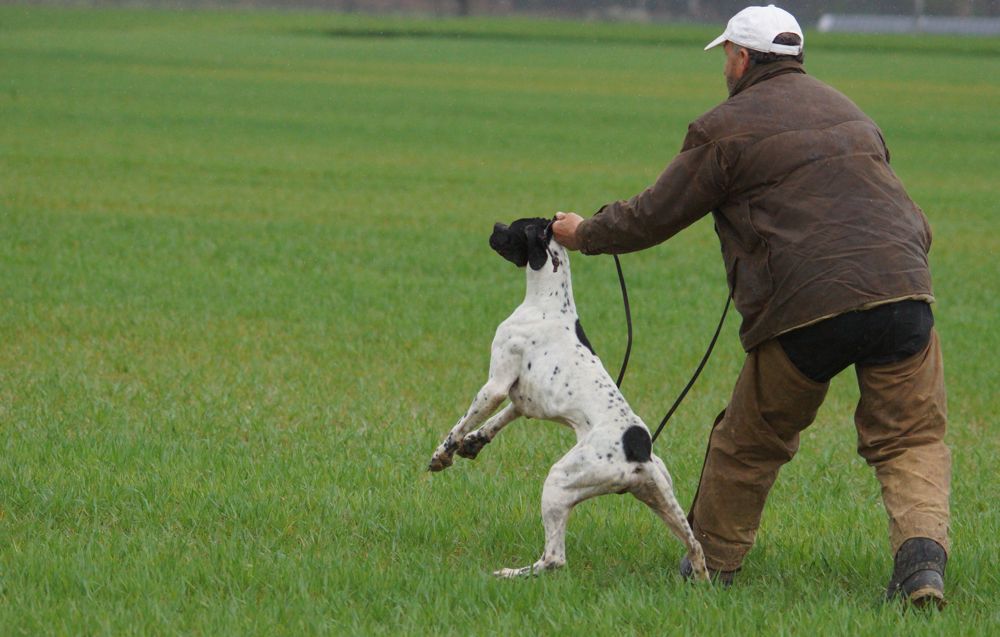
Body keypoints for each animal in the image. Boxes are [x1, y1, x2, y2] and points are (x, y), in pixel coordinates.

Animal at [428, 217, 709, 581]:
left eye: (515, 226)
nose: (495, 225)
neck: (546, 302)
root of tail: (639, 452)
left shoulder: (496, 385)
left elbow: (460, 425)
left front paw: (443, 454)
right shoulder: (522, 398)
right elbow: (497, 420)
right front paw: (475, 441)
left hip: (559, 482)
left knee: (554, 559)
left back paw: (512, 573)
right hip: (662, 498)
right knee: (697, 547)